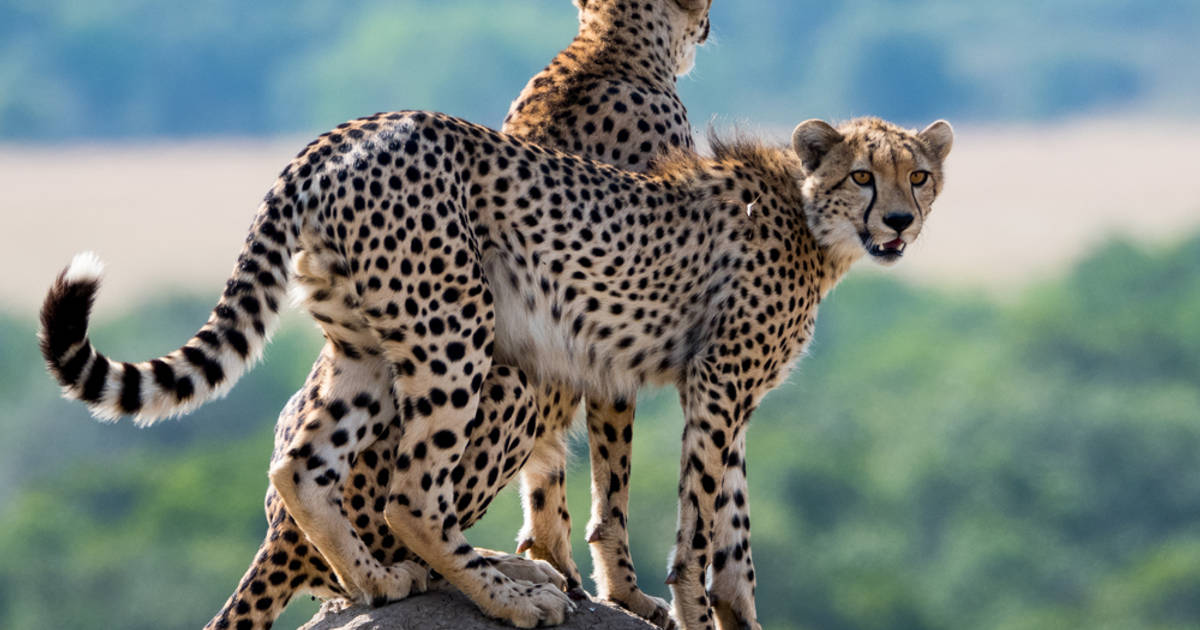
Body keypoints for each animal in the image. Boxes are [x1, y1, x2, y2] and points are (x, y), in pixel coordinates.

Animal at [39, 110, 952, 630]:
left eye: (920, 175)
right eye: (863, 176)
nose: (900, 222)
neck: (809, 219)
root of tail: (340, 135)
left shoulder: (728, 398)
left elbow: (734, 523)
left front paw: (733, 611)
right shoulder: (717, 386)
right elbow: (701, 523)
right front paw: (695, 609)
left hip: (365, 347)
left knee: (303, 466)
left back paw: (384, 584)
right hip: (457, 334)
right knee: (409, 494)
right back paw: (509, 598)